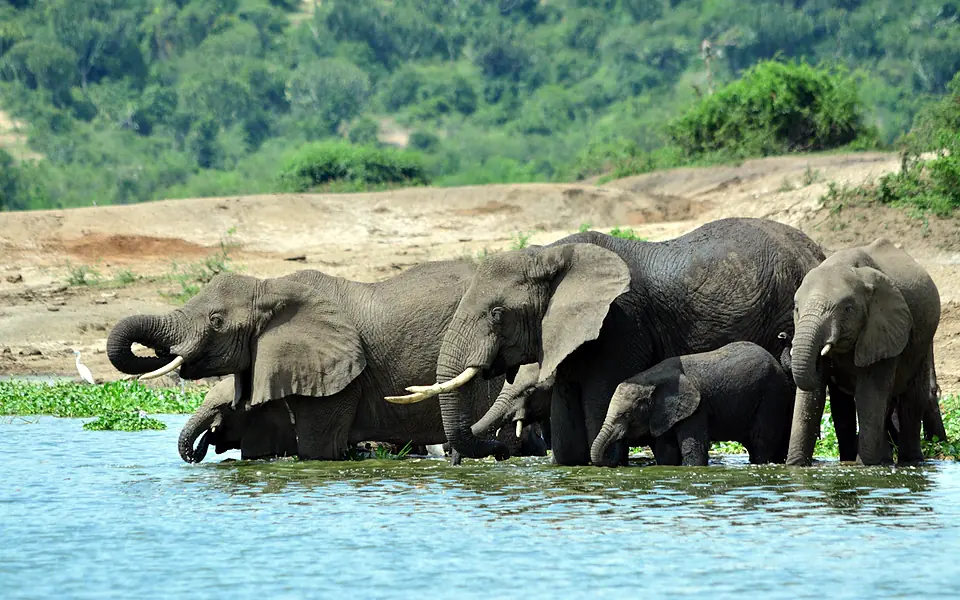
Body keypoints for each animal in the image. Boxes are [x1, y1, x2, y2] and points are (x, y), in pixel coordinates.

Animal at [590, 341, 796, 466]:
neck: (649, 380)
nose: (610, 462)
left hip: (772, 397)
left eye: (626, 415)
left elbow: (692, 449)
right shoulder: (665, 413)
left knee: (761, 443)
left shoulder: (696, 408)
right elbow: (666, 452)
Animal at [786, 238, 942, 466]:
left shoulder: (883, 330)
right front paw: (795, 467)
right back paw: (881, 460)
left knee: (912, 401)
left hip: (923, 342)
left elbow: (868, 394)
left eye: (847, 309)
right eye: (797, 309)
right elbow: (811, 397)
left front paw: (864, 466)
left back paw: (909, 462)